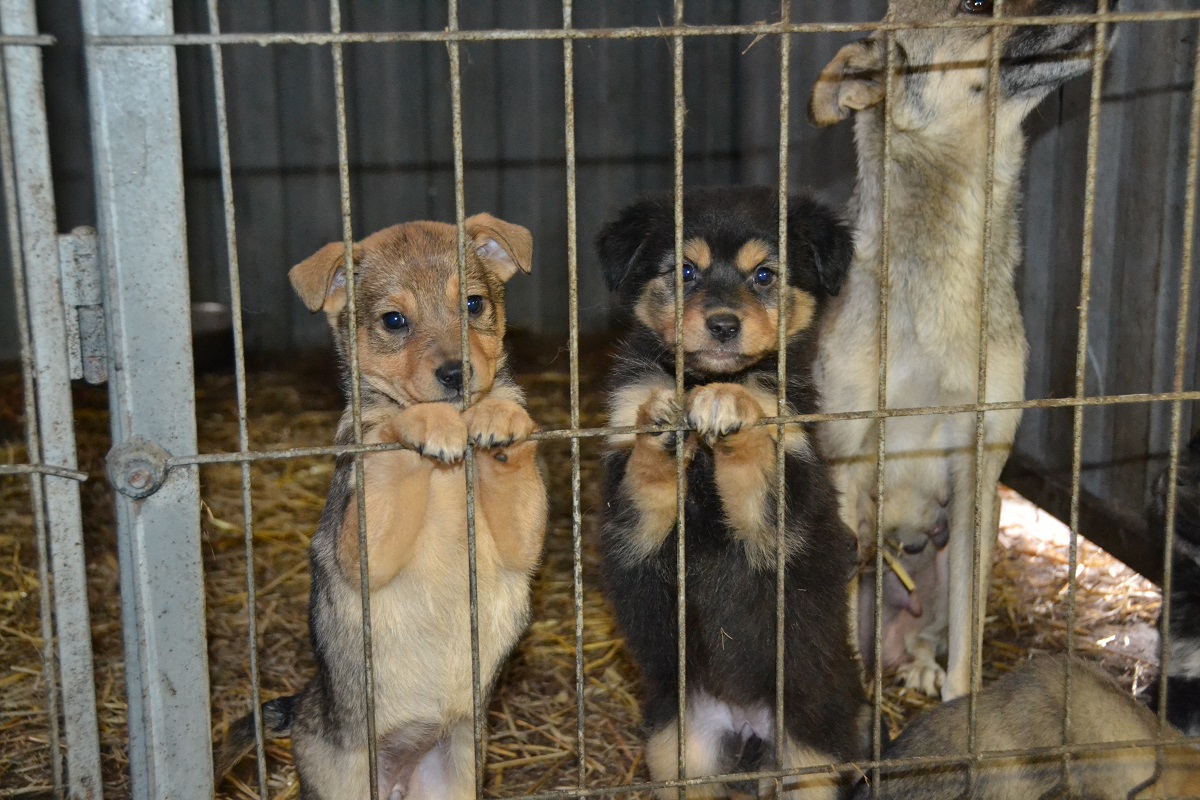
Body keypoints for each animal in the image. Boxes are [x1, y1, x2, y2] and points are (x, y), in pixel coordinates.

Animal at [214, 214, 549, 800]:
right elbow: (390, 436)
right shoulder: (365, 549)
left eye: (473, 304)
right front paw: (425, 423)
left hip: (454, 778)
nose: (457, 374)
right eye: (394, 320)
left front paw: (501, 415)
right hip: (343, 780)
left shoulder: (520, 545)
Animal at [811, 0, 1118, 700]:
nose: (1111, 5)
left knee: (934, 634)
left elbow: (969, 651)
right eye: (976, 5)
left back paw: (920, 665)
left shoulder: (978, 468)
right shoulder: (847, 461)